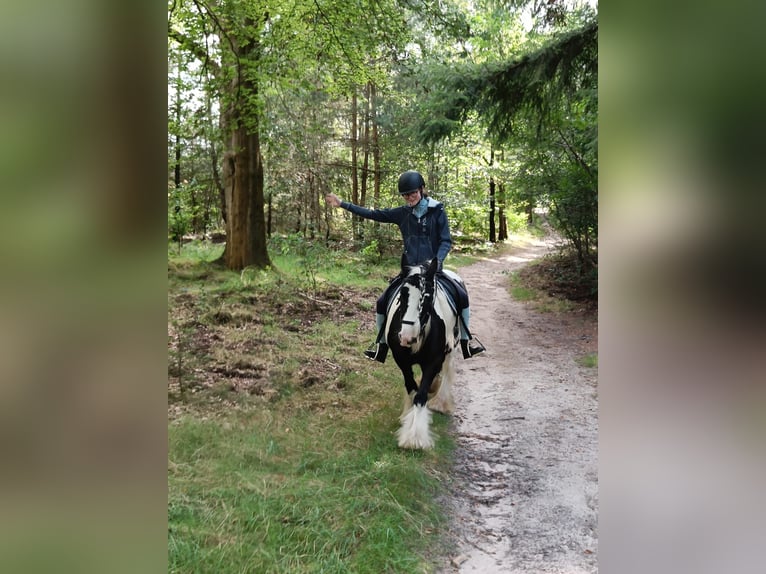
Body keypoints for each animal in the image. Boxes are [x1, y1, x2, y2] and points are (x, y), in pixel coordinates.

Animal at [384, 256, 462, 450]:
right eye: (402, 294)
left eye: (427, 296)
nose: (406, 337)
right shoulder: (401, 360)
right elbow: (412, 388)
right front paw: (407, 418)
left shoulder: (433, 361)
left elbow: (421, 395)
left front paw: (414, 438)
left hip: (452, 347)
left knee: (447, 371)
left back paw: (441, 403)